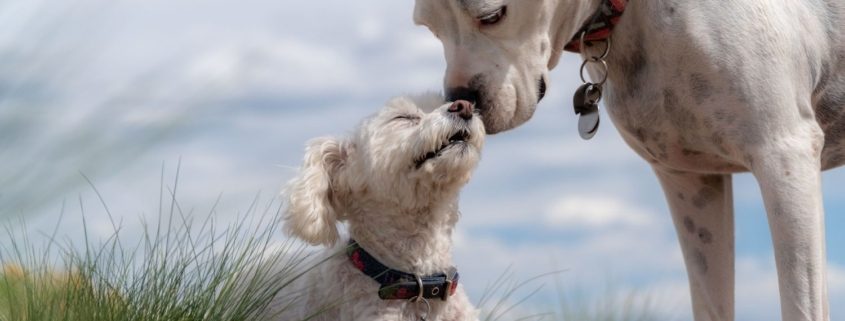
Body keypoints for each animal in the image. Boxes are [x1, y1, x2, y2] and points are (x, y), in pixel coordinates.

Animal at [414, 0, 844, 320]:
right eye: (429, 27)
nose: (461, 100)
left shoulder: (783, 156)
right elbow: (710, 303)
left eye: (492, 15)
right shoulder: (691, 182)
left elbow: (802, 304)